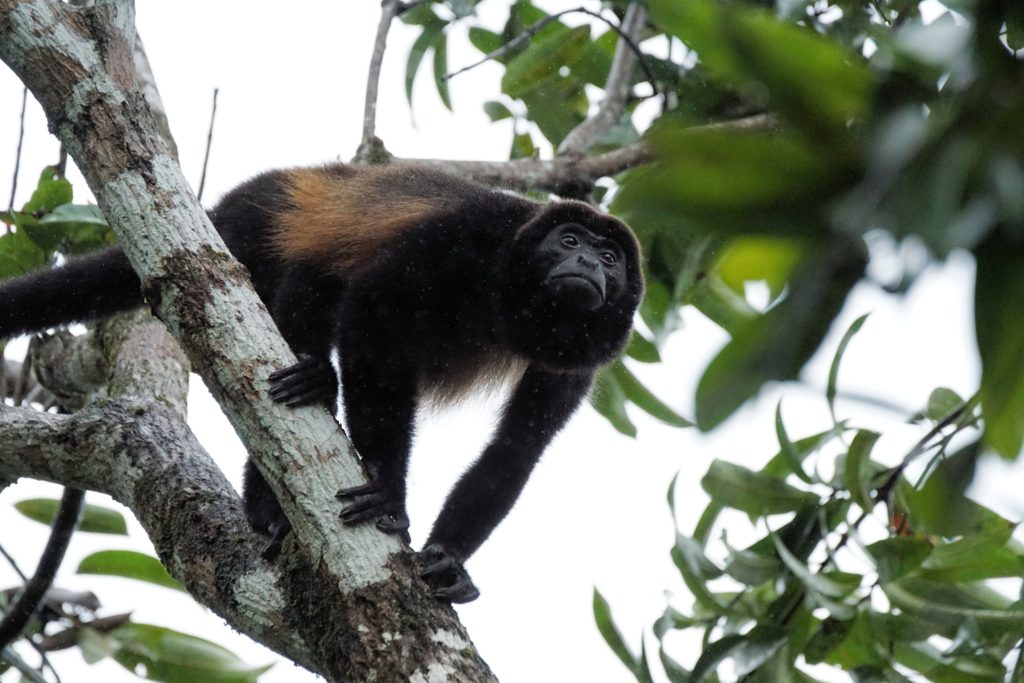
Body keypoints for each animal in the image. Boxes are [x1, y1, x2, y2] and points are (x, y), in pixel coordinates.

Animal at [0, 165, 638, 602]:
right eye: (570, 241)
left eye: (611, 256)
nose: (590, 266)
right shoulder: (471, 238)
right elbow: (374, 306)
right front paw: (386, 486)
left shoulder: (581, 363)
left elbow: (516, 448)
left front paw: (450, 560)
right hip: (252, 227)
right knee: (310, 279)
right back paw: (285, 462)